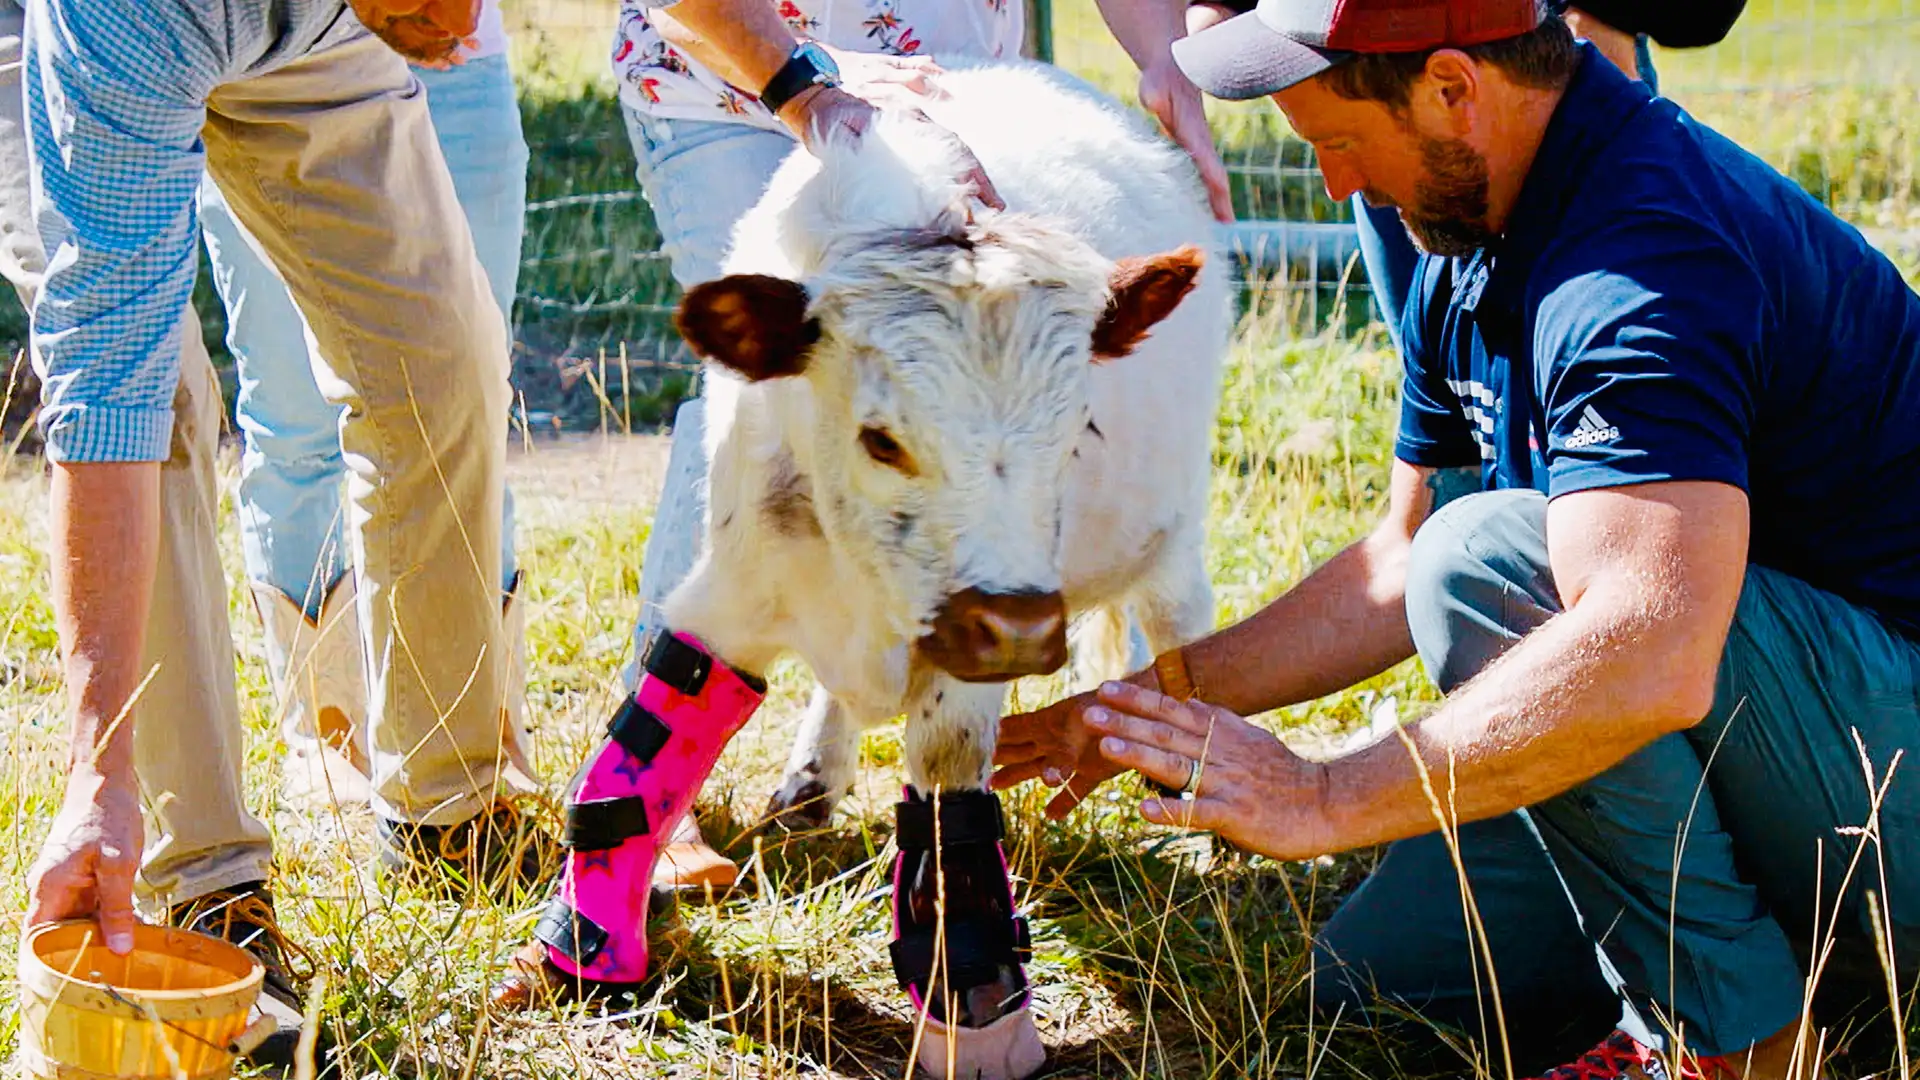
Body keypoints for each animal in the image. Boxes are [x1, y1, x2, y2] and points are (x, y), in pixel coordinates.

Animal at [500, 58, 1230, 1080]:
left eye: (1078, 428)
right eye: (882, 438)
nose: (1021, 630)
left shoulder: (968, 647)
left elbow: (949, 793)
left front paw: (977, 1023)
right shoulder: (734, 581)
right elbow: (648, 738)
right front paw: (579, 952)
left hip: (1173, 538)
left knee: (1179, 634)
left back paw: (1195, 804)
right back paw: (812, 781)